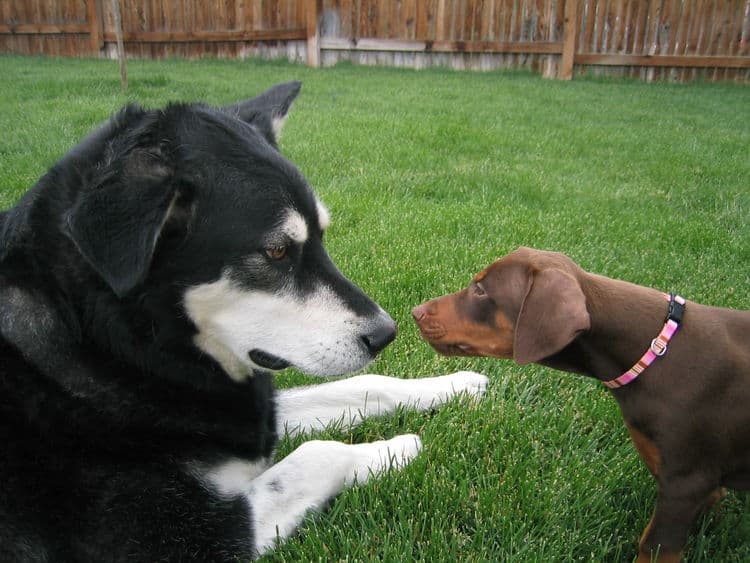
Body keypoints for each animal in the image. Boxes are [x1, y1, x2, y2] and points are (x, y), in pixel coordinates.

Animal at [0, 81, 488, 560]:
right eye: (276, 251)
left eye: (321, 237)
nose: (387, 333)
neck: (123, 348)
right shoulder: (180, 539)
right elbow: (319, 453)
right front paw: (399, 447)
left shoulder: (252, 417)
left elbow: (366, 385)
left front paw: (457, 384)